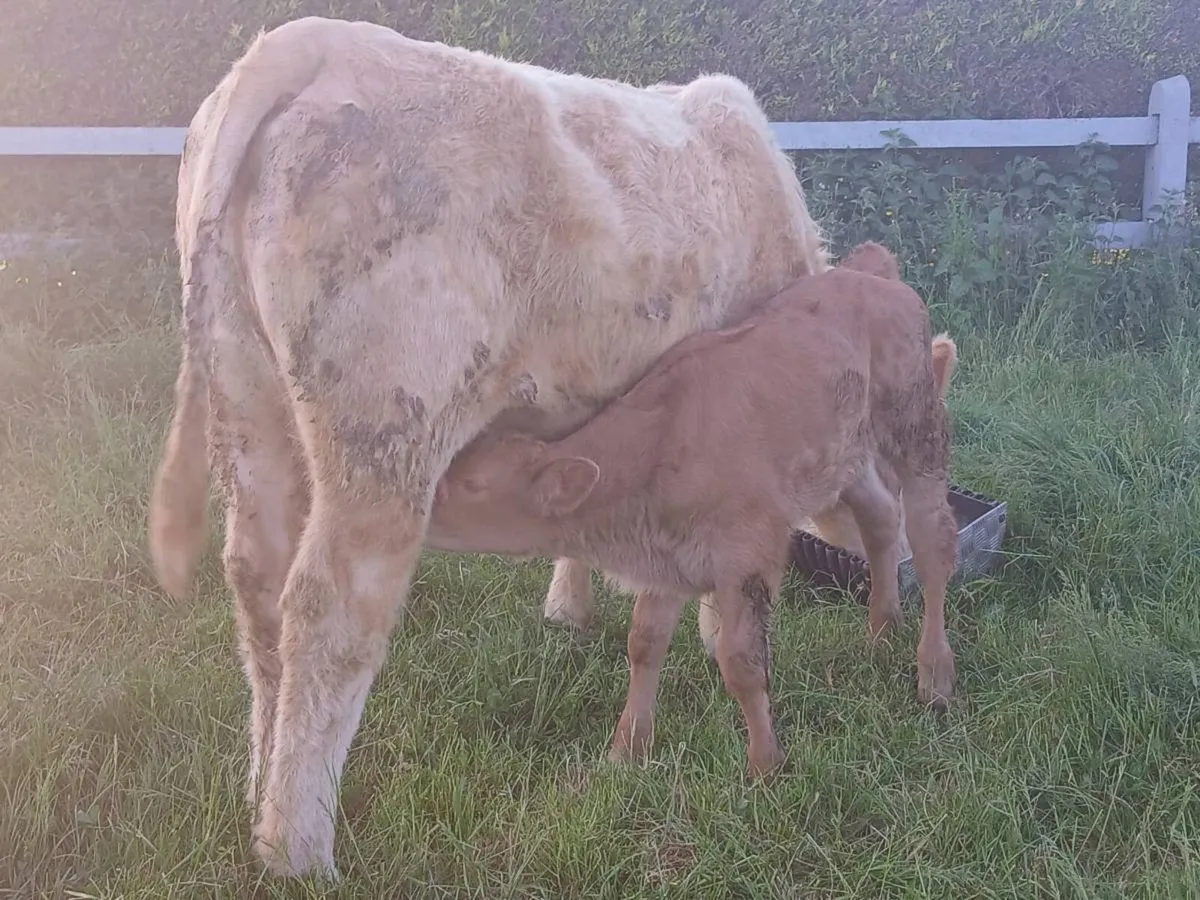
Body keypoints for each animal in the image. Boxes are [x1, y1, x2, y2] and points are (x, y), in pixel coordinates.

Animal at [146, 15, 829, 878]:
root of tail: (312, 39)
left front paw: (570, 607)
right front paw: (713, 633)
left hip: (247, 398)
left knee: (256, 582)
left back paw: (259, 792)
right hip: (385, 423)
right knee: (329, 610)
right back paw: (297, 850)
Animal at [425, 242, 960, 779]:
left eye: (472, 484)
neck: (656, 447)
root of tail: (871, 273)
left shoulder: (747, 557)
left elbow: (740, 662)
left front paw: (765, 765)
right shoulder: (668, 557)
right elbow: (644, 642)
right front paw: (627, 751)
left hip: (918, 430)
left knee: (933, 542)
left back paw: (935, 678)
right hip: (848, 458)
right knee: (880, 519)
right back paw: (881, 633)